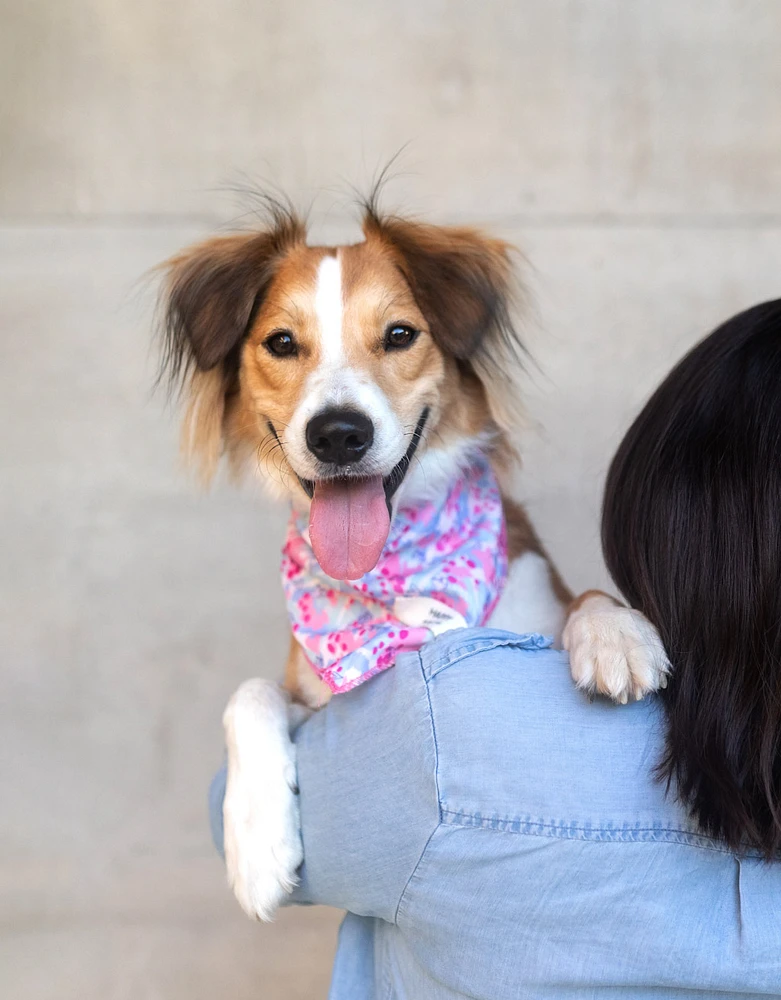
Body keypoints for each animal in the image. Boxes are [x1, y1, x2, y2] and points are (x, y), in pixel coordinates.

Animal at [158, 197, 672, 920]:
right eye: (282, 343)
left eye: (400, 335)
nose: (338, 434)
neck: (403, 579)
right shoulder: (323, 706)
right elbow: (249, 692)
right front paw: (255, 843)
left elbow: (589, 598)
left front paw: (616, 638)